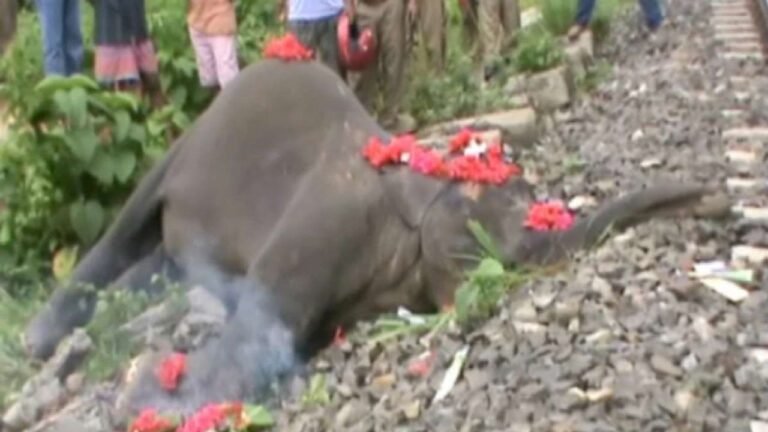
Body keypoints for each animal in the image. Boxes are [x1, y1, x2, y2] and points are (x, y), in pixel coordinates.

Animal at [22, 59, 730, 418]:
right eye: (498, 225)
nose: (715, 200)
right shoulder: (331, 213)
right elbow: (261, 326)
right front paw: (140, 391)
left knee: (159, 267)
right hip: (188, 147)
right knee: (127, 228)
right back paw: (40, 341)